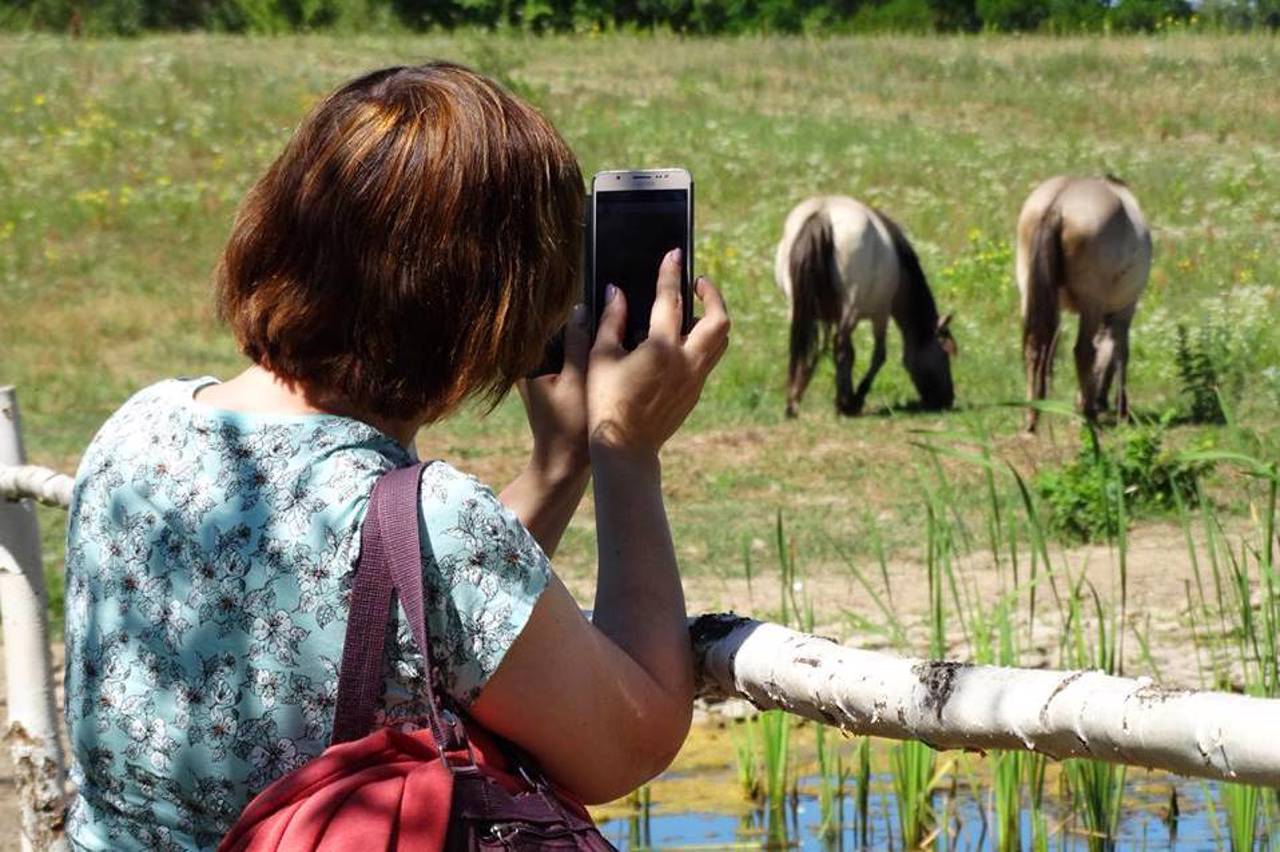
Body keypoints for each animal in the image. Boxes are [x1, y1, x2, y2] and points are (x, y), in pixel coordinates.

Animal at [773, 195, 957, 414]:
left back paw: (793, 402)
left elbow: (844, 354)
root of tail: (823, 213)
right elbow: (878, 356)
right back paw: (841, 404)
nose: (948, 399)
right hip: (850, 309)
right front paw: (855, 398)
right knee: (839, 347)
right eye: (945, 353)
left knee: (806, 348)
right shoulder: (880, 314)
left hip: (799, 309)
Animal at [1018, 177, 1152, 432]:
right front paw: (1122, 410)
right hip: (1092, 303)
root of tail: (1057, 203)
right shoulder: (1124, 309)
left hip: (1028, 294)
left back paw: (1032, 416)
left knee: (1034, 349)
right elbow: (1120, 352)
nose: (1102, 402)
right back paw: (1089, 416)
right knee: (1083, 350)